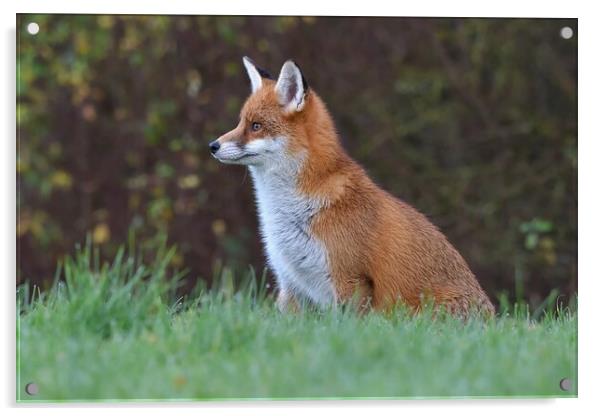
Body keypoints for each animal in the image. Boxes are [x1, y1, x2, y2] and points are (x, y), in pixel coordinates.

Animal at [210, 56, 492, 316]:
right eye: (240, 123)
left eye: (256, 126)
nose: (213, 145)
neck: (289, 211)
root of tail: (491, 319)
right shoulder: (290, 281)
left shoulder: (348, 279)